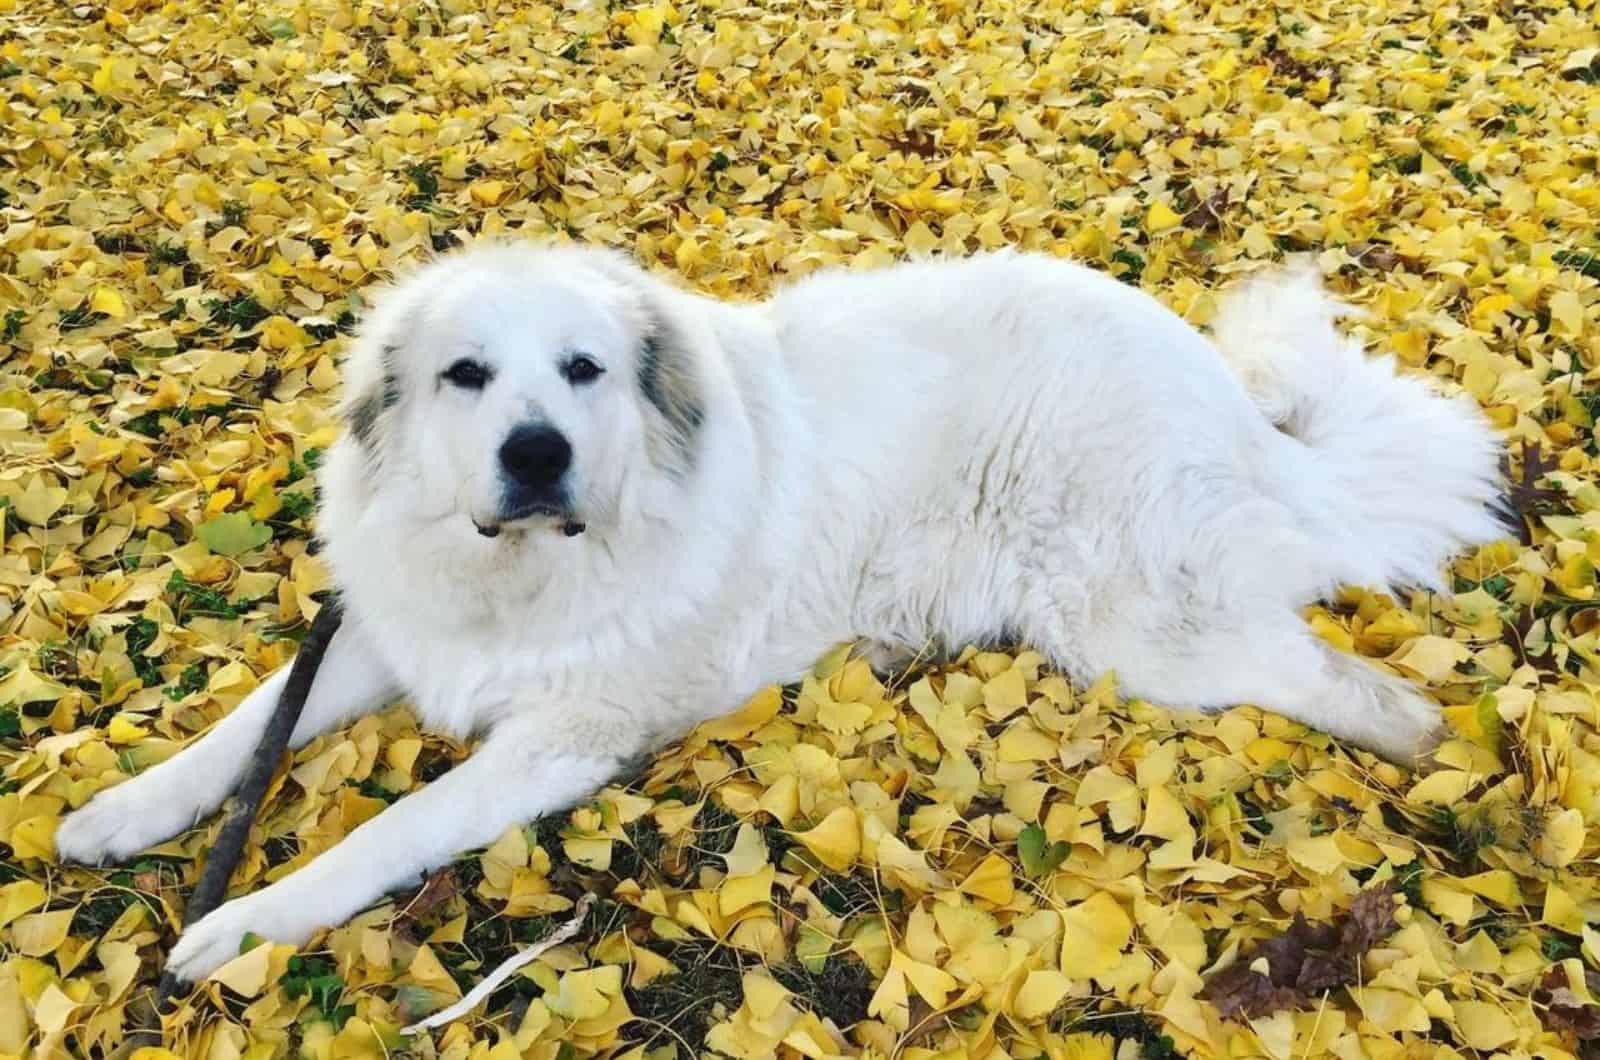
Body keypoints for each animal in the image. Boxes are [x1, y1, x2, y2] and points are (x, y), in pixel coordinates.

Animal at [56, 240, 1504, 979]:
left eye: (583, 370)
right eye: (467, 376)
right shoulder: (392, 631)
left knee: (1356, 683)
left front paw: (238, 925)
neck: (525, 573)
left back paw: (1441, 781)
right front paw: (119, 811)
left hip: (1141, 627)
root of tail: (1219, 392)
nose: (536, 454)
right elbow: (242, 728)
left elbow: (380, 834)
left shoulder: (564, 738)